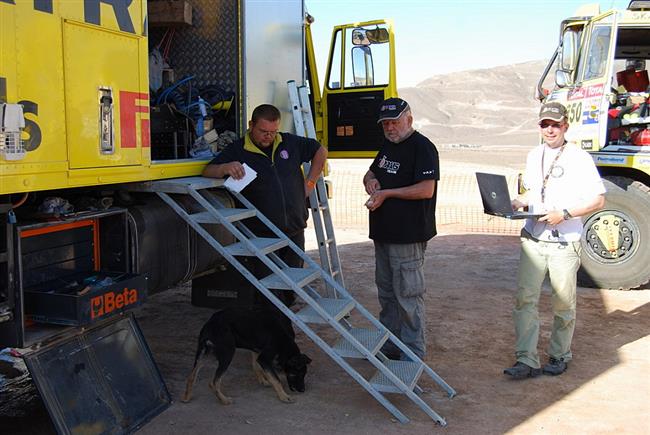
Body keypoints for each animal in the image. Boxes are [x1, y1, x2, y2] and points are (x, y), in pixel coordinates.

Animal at [180, 306, 312, 406]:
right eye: (296, 374)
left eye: (304, 374)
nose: (303, 390)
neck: (283, 340)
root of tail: (211, 323)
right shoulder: (264, 357)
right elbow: (276, 379)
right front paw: (284, 397)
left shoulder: (257, 351)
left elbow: (256, 367)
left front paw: (263, 380)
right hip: (228, 353)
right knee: (213, 382)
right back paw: (224, 400)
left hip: (203, 353)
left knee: (191, 376)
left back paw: (186, 397)